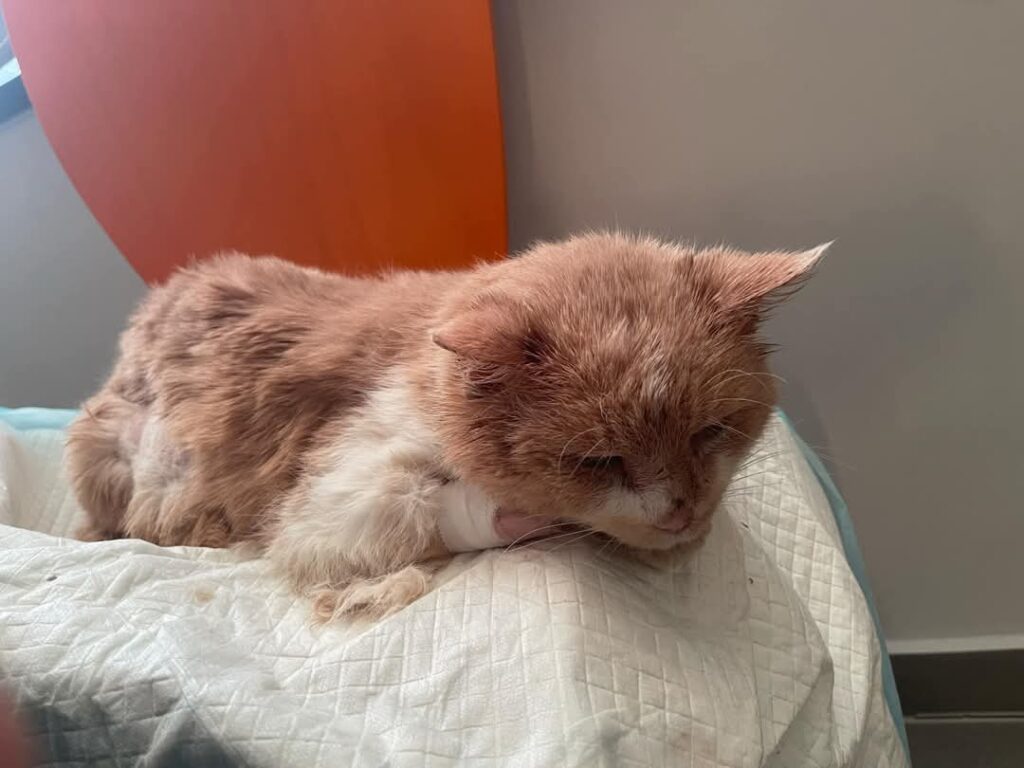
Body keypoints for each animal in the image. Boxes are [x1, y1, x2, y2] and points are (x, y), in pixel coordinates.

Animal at [66, 232, 826, 619]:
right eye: (597, 462)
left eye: (711, 432)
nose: (681, 509)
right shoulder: (335, 501)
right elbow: (427, 511)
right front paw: (527, 520)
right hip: (112, 459)